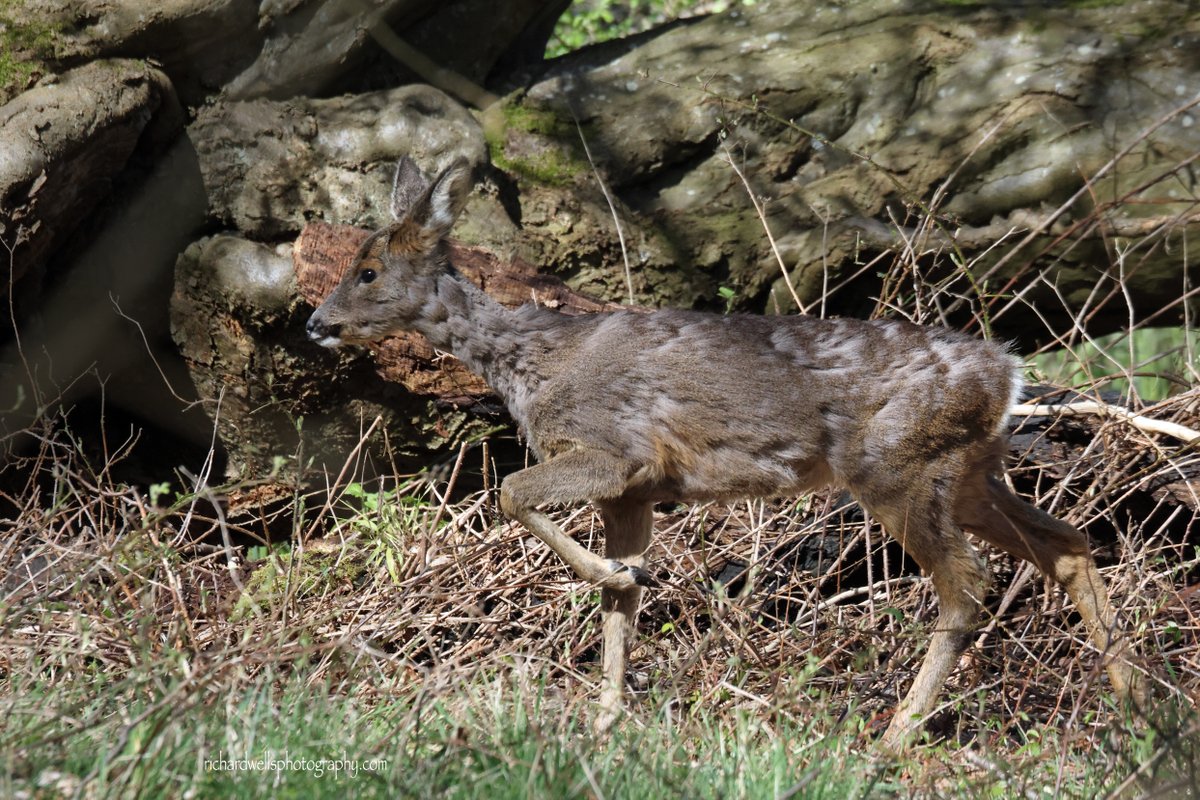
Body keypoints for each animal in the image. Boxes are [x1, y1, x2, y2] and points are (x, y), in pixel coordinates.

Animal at [307, 158, 1142, 753]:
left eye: (369, 272)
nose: (315, 322)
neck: (533, 362)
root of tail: (1009, 373)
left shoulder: (617, 451)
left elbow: (510, 491)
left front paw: (616, 596)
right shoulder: (634, 492)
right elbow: (618, 607)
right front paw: (605, 724)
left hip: (898, 466)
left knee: (969, 584)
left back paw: (897, 737)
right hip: (969, 473)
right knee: (1067, 543)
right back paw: (1136, 706)